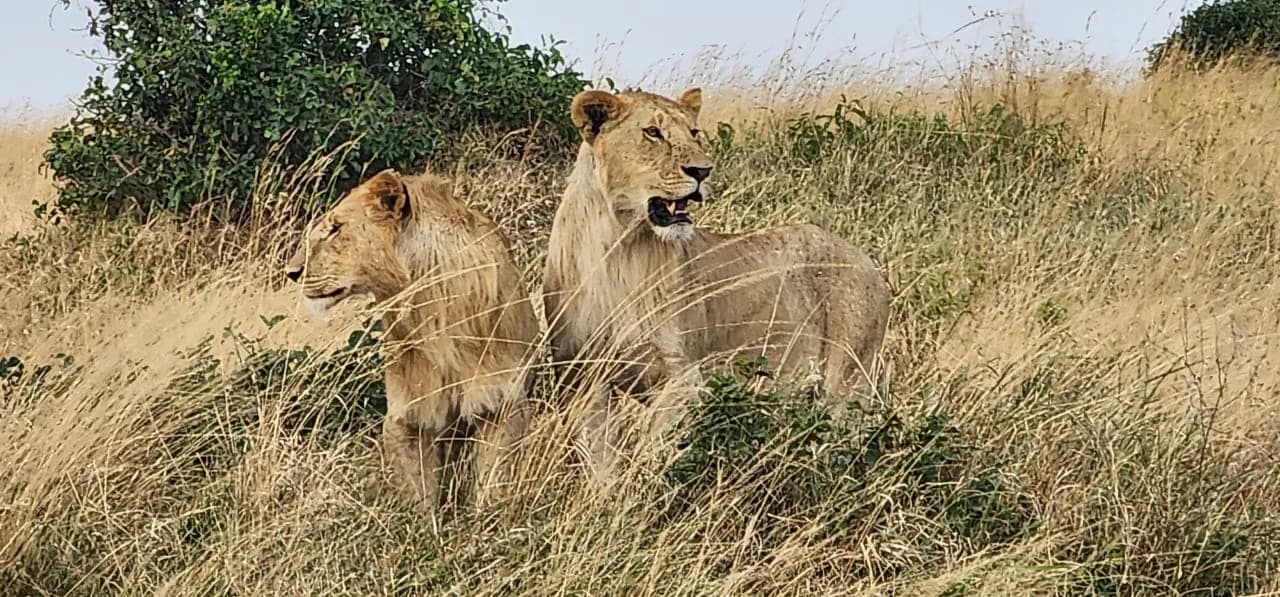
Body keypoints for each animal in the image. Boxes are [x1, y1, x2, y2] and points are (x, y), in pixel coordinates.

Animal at [284, 168, 539, 510]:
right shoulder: (407, 415)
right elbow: (417, 497)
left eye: (336, 229)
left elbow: (494, 483)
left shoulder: (501, 402)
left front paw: (486, 520)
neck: (430, 308)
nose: (292, 272)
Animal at [542, 87, 892, 473]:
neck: (621, 248)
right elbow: (602, 461)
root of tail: (867, 261)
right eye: (653, 132)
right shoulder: (581, 380)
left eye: (693, 133)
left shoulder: (686, 378)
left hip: (848, 380)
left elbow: (653, 450)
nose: (702, 170)